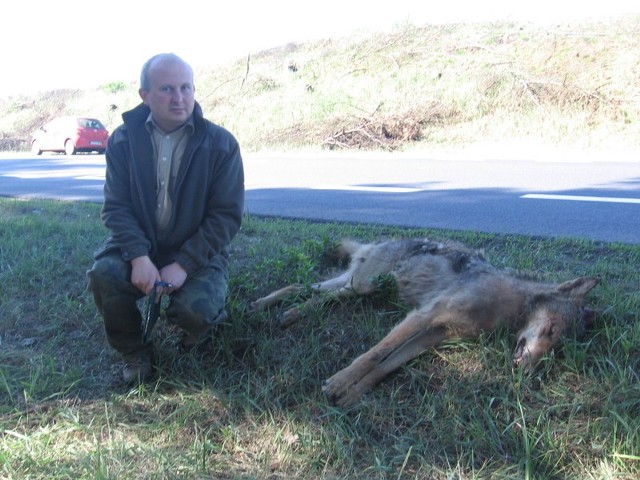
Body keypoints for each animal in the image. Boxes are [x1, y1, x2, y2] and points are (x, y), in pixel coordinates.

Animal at [248, 238, 596, 406]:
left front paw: (352, 393)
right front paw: (339, 381)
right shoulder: (422, 317)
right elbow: (373, 355)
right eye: (550, 330)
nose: (526, 371)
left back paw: (278, 311)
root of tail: (379, 243)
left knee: (305, 290)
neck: (508, 307)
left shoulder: (433, 335)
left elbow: (386, 366)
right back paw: (268, 307)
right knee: (312, 293)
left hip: (353, 287)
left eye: (556, 350)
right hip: (364, 287)